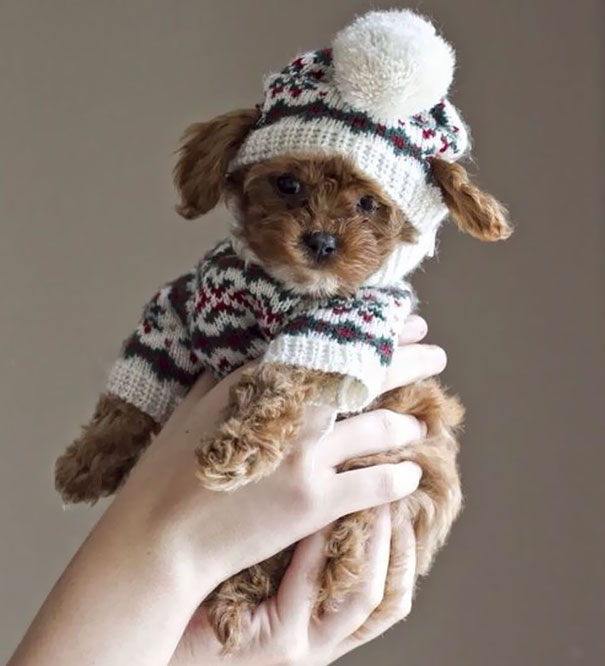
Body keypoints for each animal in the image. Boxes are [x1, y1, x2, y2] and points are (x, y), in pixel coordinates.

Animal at [55, 11, 510, 652]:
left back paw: (277, 583)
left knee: (319, 541)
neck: (277, 286)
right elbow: (137, 386)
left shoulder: (342, 330)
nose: (321, 241)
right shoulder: (179, 307)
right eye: (288, 185)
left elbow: (280, 379)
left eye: (368, 204)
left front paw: (234, 449)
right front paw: (89, 459)